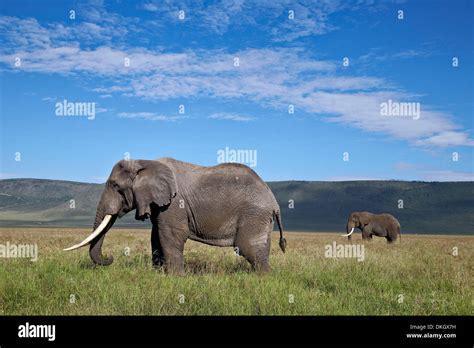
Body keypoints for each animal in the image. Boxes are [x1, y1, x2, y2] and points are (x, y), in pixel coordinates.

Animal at [62, 158, 286, 274]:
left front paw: (176, 279)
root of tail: (274, 201)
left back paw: (263, 280)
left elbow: (170, 235)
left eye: (116, 186)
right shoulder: (158, 204)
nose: (110, 258)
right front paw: (157, 274)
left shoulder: (174, 204)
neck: (144, 162)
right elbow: (156, 236)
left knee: (249, 249)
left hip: (254, 214)